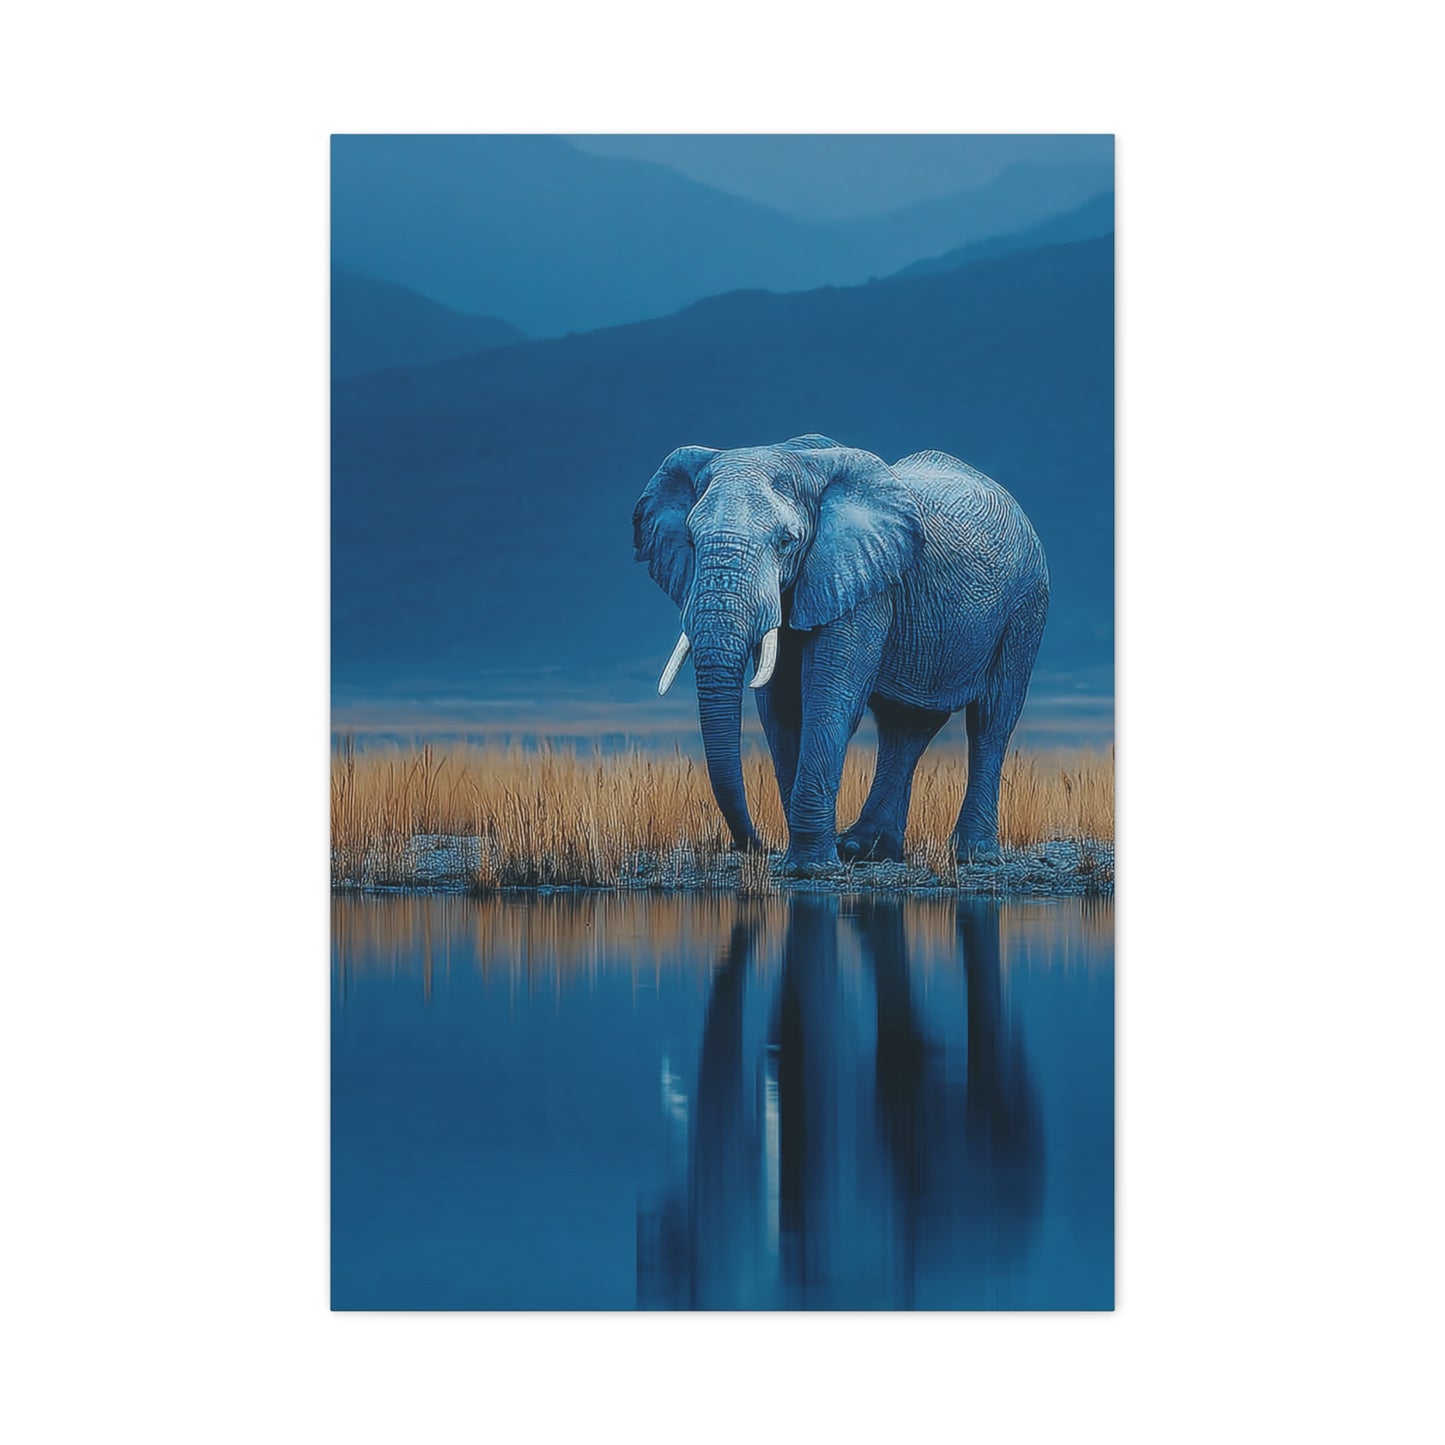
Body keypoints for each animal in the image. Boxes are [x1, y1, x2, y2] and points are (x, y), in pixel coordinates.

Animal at [633, 435, 1049, 874]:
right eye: (691, 541)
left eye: (786, 542)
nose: (756, 845)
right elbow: (780, 710)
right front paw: (808, 860)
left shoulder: (862, 581)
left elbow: (828, 701)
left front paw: (808, 868)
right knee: (904, 727)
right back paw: (864, 849)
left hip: (1026, 604)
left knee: (991, 719)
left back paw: (973, 854)